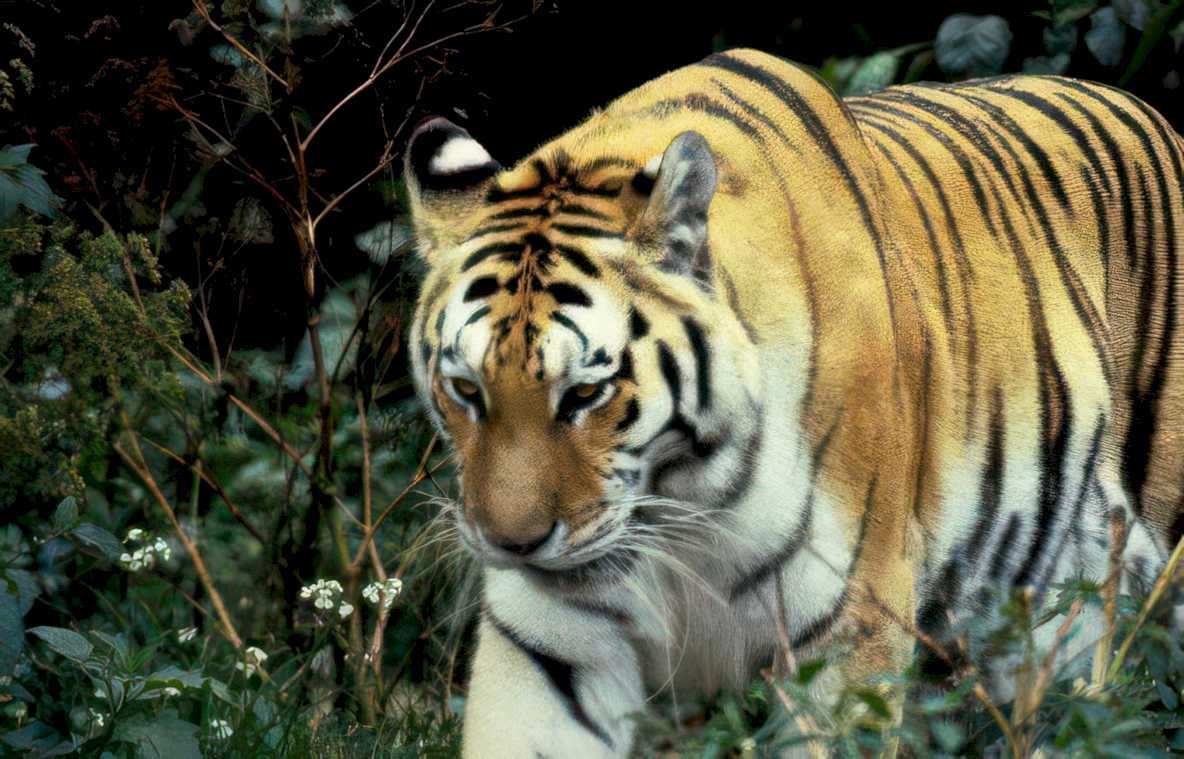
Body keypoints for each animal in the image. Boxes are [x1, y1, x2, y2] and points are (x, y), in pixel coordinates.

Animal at [403, 48, 1184, 757]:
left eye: (586, 393)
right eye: (466, 389)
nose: (511, 543)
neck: (681, 500)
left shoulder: (850, 626)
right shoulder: (554, 643)